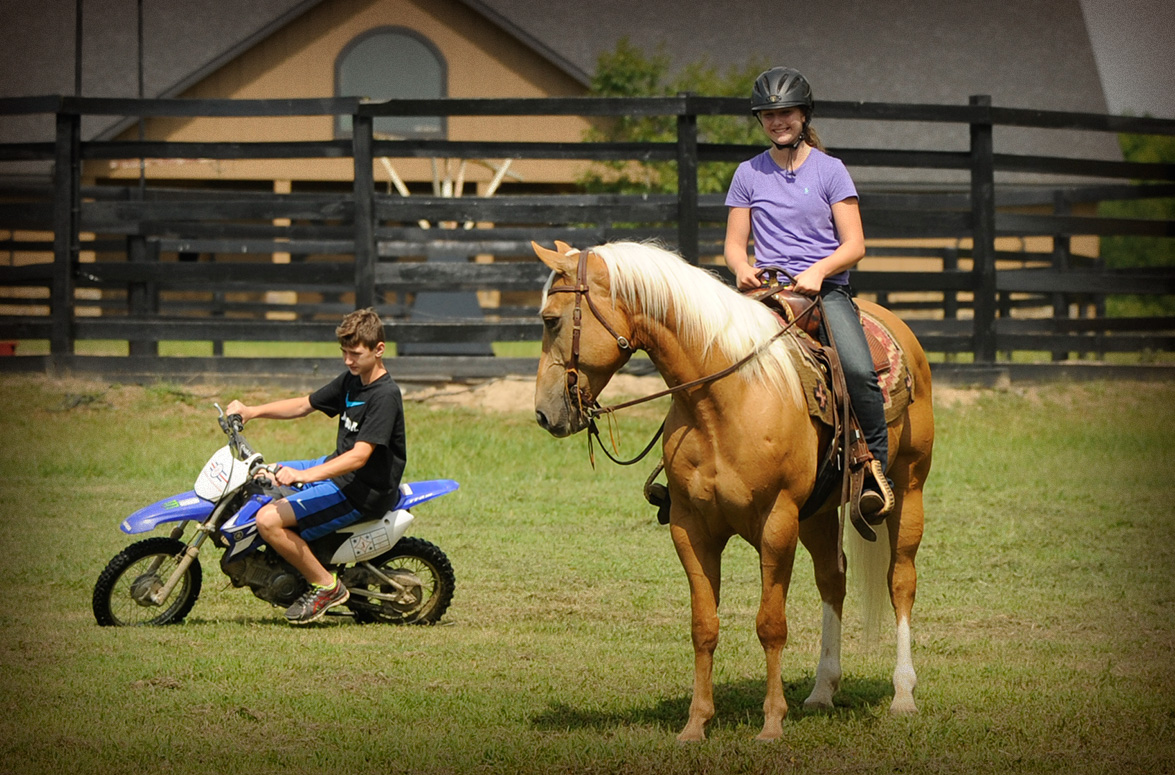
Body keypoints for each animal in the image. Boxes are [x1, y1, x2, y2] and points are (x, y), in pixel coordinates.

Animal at [535, 239, 935, 742]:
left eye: (551, 320)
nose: (543, 413)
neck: (725, 400)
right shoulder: (691, 527)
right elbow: (703, 625)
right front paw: (696, 724)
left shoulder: (777, 523)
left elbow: (771, 624)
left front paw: (772, 724)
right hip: (819, 513)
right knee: (833, 579)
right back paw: (823, 689)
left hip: (909, 488)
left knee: (900, 582)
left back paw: (903, 693)